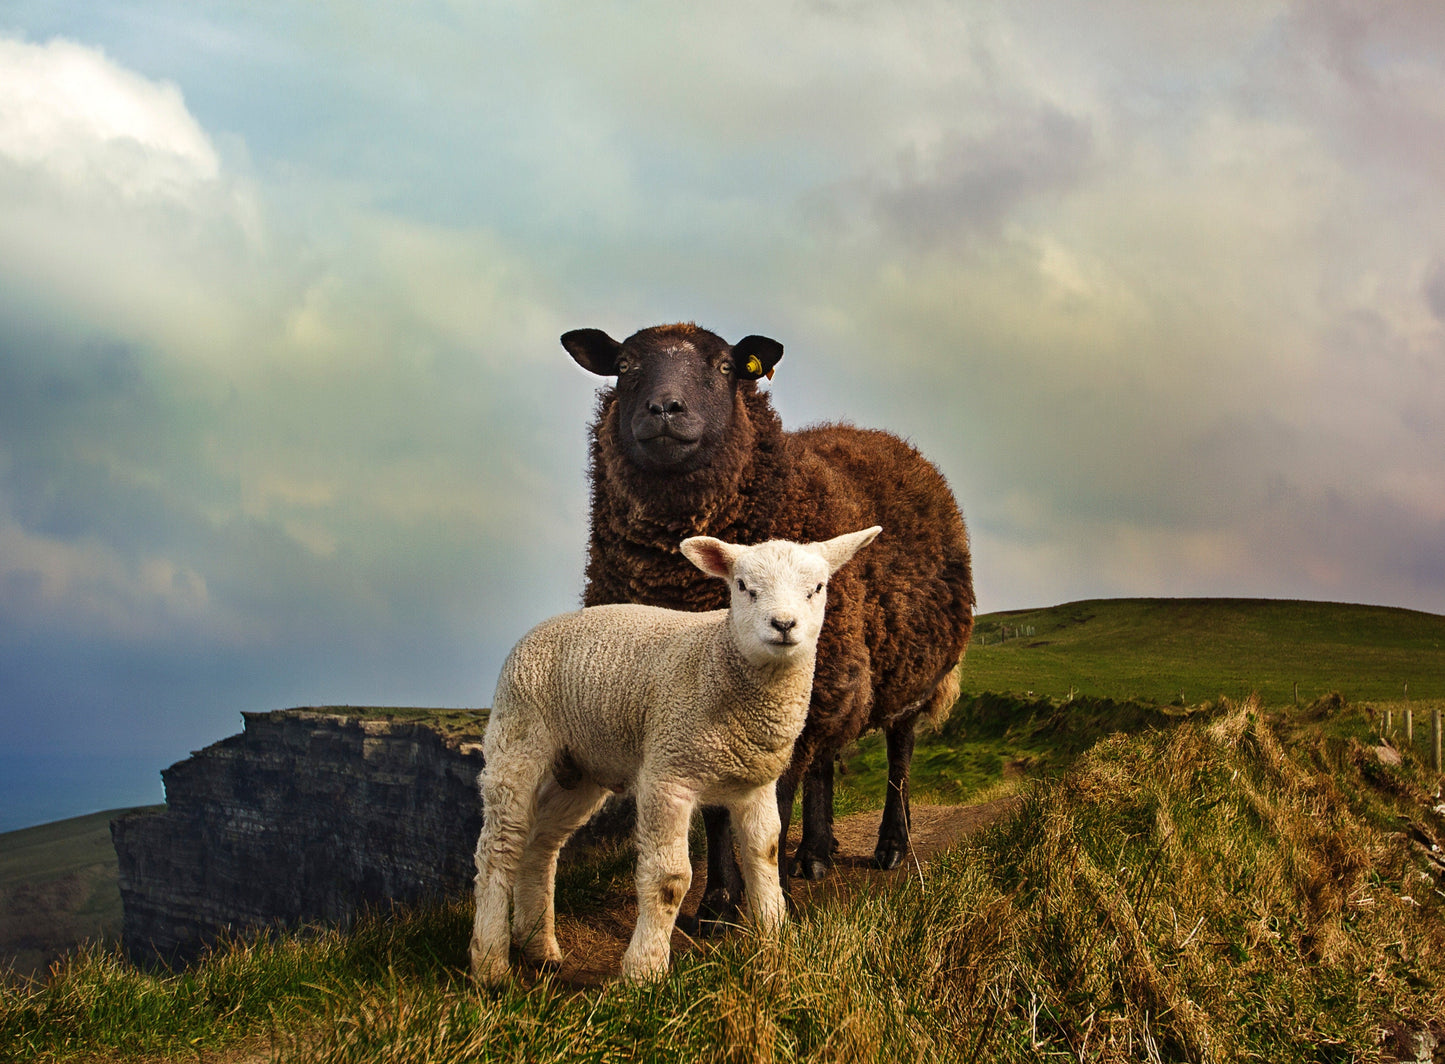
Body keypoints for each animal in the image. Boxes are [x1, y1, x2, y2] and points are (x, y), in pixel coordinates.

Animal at [473, 523, 878, 983]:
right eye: (743, 586)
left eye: (817, 588)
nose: (783, 624)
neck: (719, 660)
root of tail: (540, 627)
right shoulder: (668, 774)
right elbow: (670, 878)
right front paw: (644, 971)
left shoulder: (755, 784)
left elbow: (765, 857)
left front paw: (777, 943)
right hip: (518, 735)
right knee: (500, 847)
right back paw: (490, 964)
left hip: (580, 767)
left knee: (540, 846)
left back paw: (538, 947)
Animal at [560, 319, 971, 925]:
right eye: (625, 366)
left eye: (726, 367)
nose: (665, 408)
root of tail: (886, 438)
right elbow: (717, 812)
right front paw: (716, 904)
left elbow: (767, 805)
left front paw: (759, 904)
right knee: (826, 760)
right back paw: (815, 855)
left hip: (906, 671)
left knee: (899, 752)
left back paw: (891, 847)